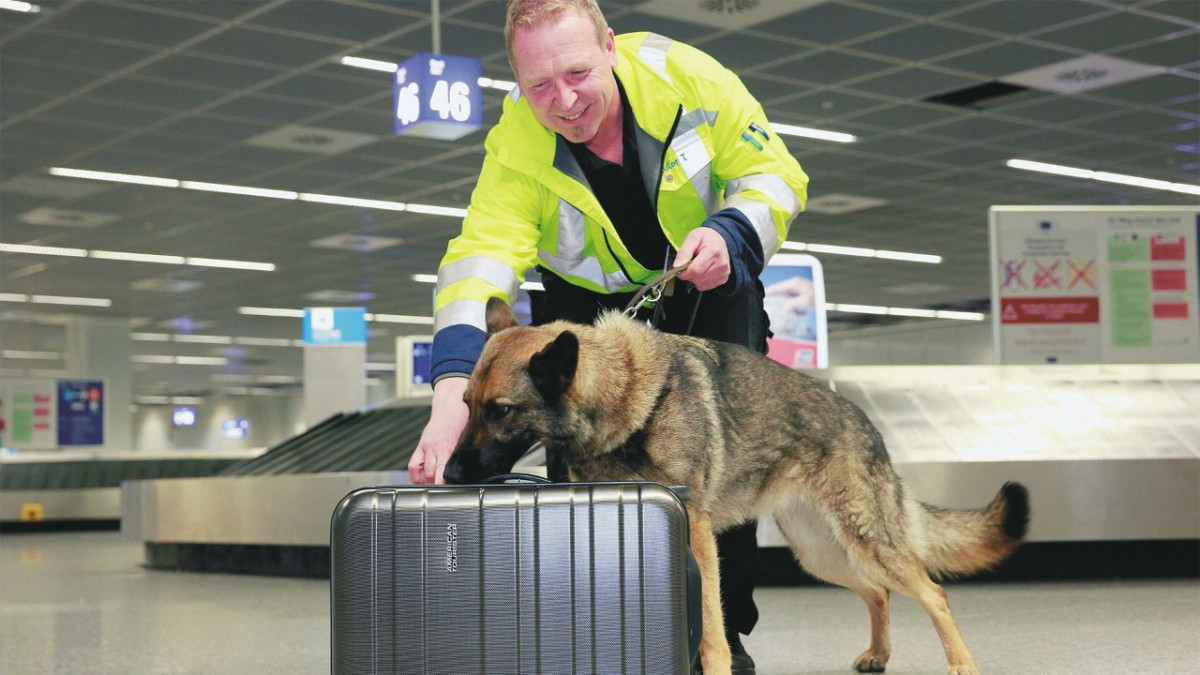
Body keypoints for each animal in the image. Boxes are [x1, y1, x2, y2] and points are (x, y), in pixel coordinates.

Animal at [446, 299, 1027, 672]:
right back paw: (879, 656)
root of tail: (864, 421)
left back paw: (962, 664)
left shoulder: (698, 538)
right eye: (466, 405)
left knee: (933, 593)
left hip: (866, 542)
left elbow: (711, 631)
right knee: (878, 592)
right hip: (823, 554)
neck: (626, 392)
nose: (449, 475)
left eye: (501, 411)